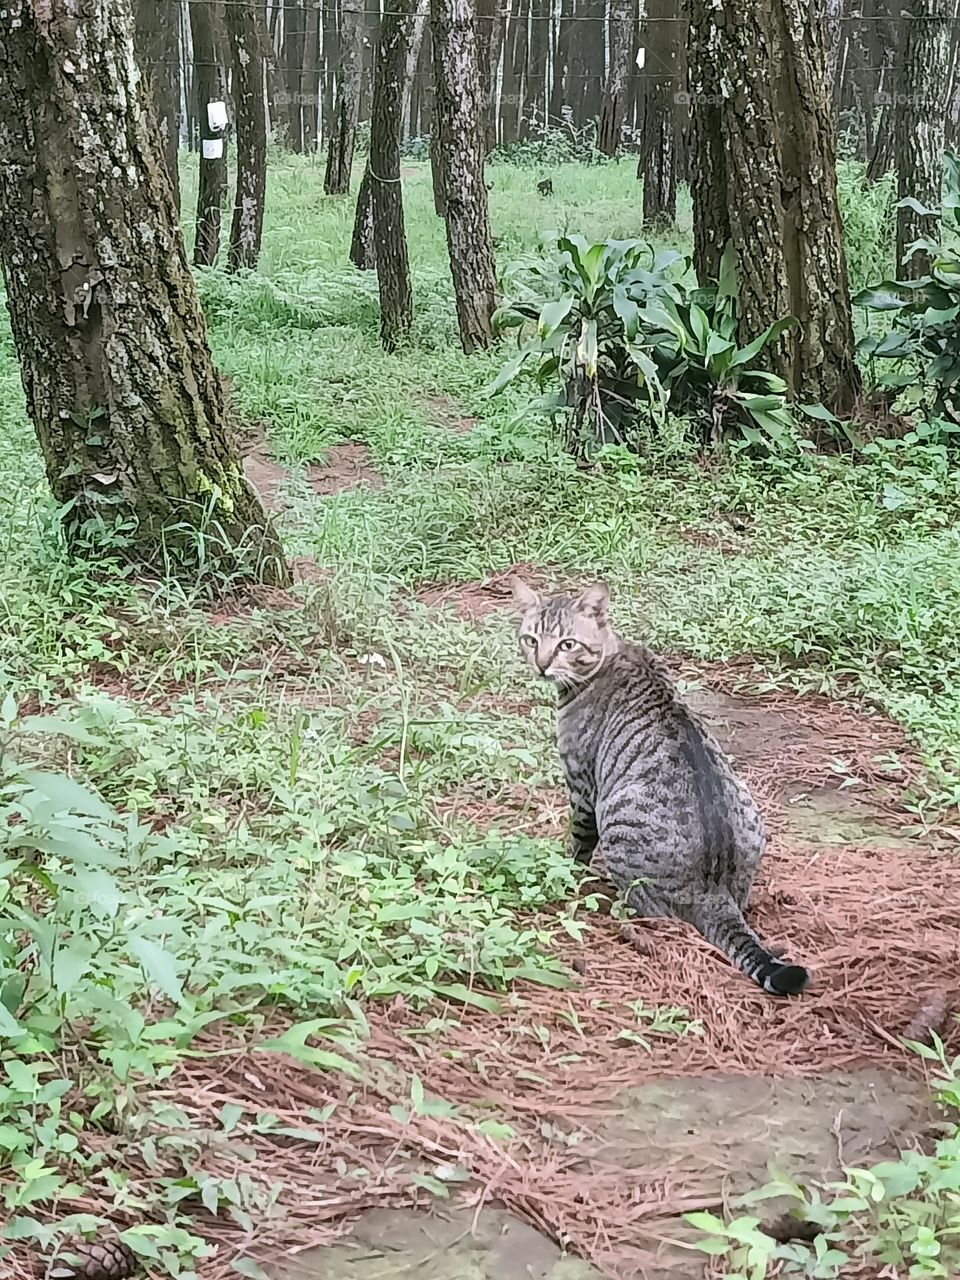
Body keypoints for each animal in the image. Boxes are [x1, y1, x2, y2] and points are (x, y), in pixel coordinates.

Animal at [512, 576, 814, 993]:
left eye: (567, 644)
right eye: (531, 639)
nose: (541, 665)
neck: (611, 654)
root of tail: (715, 890)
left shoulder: (582, 786)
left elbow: (577, 844)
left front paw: (564, 865)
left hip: (617, 825)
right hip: (751, 812)